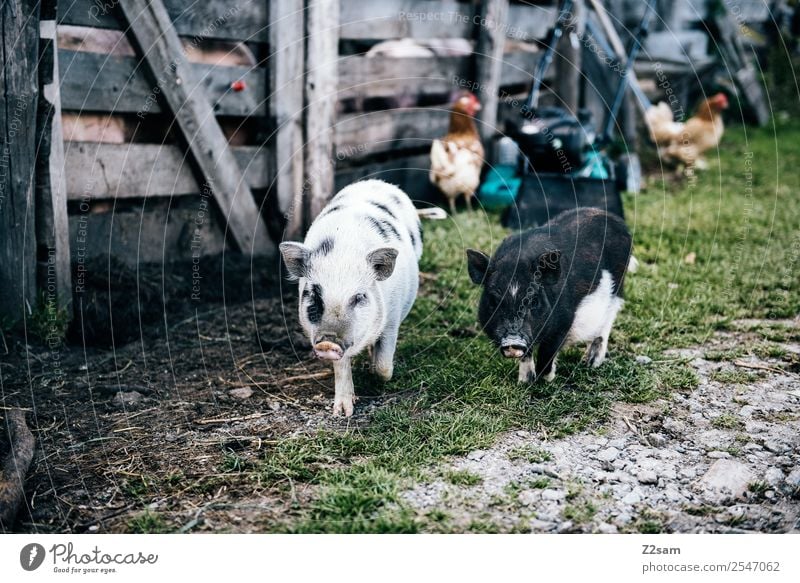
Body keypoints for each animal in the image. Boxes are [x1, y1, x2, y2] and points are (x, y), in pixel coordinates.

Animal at [466, 209, 636, 384]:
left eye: (534, 301)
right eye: (494, 301)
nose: (513, 341)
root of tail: (613, 218)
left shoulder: (565, 320)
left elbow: (548, 351)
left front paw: (546, 378)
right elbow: (527, 354)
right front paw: (524, 382)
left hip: (617, 286)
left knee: (608, 320)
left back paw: (592, 363)